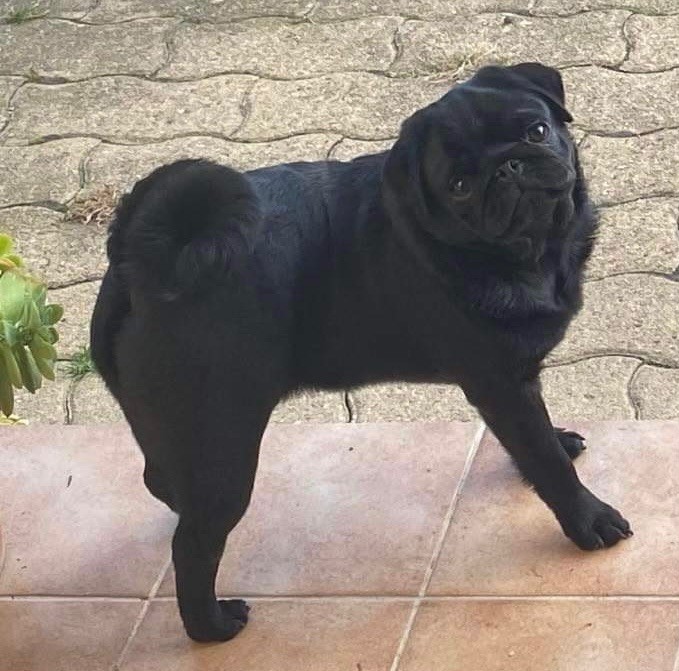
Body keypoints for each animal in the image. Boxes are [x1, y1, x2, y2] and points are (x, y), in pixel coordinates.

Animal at [91, 62, 631, 643]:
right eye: (460, 188)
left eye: (536, 131)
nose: (509, 168)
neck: (533, 254)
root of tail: (136, 261)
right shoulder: (500, 382)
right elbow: (544, 460)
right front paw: (588, 519)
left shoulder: (513, 383)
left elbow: (534, 441)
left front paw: (558, 440)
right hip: (221, 437)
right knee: (193, 545)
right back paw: (212, 625)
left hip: (173, 427)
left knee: (162, 479)